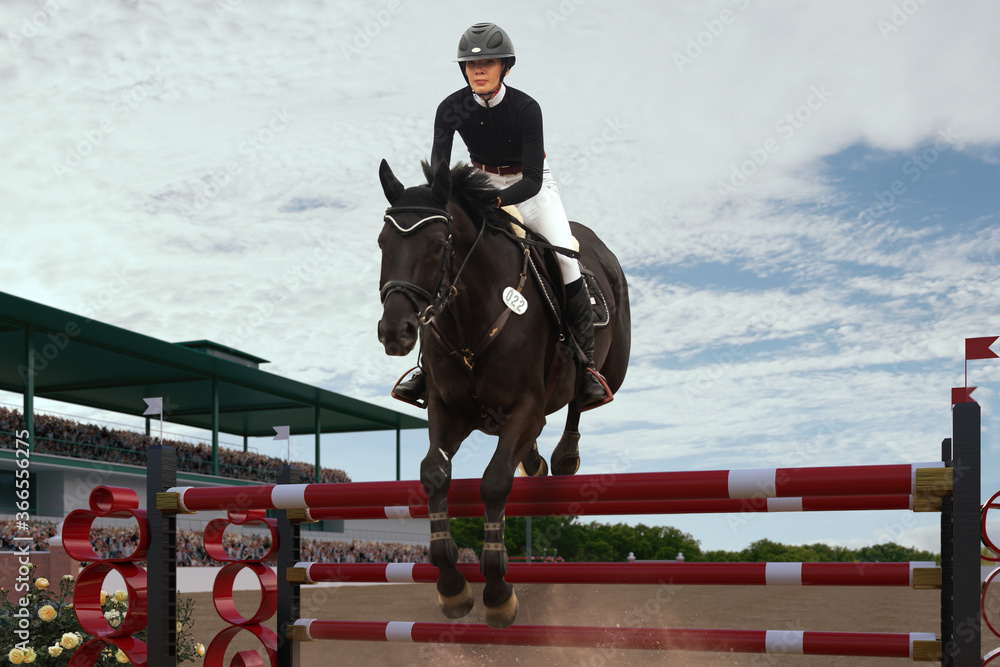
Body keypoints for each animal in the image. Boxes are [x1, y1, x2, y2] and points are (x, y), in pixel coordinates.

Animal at [376, 159, 632, 628]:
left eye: (438, 244)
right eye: (383, 242)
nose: (394, 332)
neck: (468, 314)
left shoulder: (526, 408)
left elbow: (495, 482)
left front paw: (497, 594)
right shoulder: (447, 410)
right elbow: (433, 473)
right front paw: (452, 589)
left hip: (612, 368)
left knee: (578, 399)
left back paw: (565, 455)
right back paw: (534, 460)